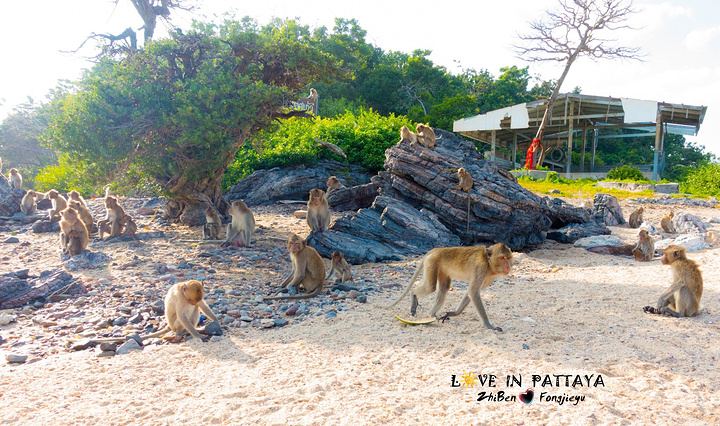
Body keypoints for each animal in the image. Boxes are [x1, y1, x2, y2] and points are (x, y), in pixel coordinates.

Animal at [89, 280, 217, 342]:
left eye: (194, 300)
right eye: (190, 300)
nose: (193, 303)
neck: (182, 290)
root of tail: (170, 327)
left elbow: (202, 305)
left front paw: (216, 321)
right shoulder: (180, 297)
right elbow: (181, 315)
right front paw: (197, 336)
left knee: (196, 309)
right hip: (176, 326)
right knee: (182, 320)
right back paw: (184, 333)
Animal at [380, 243, 516, 332]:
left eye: (508, 258)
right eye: (502, 258)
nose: (508, 266)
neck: (488, 263)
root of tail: (435, 250)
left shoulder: (489, 277)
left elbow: (470, 293)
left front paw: (454, 313)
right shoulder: (480, 268)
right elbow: (473, 292)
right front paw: (489, 326)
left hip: (441, 269)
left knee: (444, 287)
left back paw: (433, 314)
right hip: (432, 263)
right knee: (430, 287)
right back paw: (413, 295)